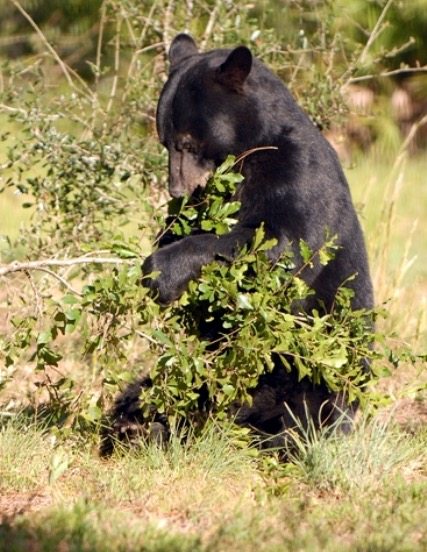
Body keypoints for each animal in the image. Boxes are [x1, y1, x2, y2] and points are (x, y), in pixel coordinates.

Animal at [98, 35, 372, 458]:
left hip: (319, 374)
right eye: (165, 142)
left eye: (188, 142)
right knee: (162, 391)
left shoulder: (300, 173)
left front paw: (161, 271)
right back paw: (136, 425)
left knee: (308, 417)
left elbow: (283, 246)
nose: (177, 189)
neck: (252, 148)